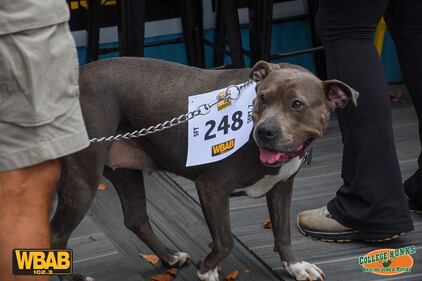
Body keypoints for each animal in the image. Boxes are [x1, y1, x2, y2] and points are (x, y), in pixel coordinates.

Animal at [51, 57, 358, 280]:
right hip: (83, 179)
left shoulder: (282, 186)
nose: (265, 131)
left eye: (297, 105)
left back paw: (170, 257)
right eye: (263, 98)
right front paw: (207, 269)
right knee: (57, 234)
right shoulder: (211, 188)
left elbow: (282, 232)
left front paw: (295, 266)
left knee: (136, 219)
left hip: (125, 171)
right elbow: (225, 240)